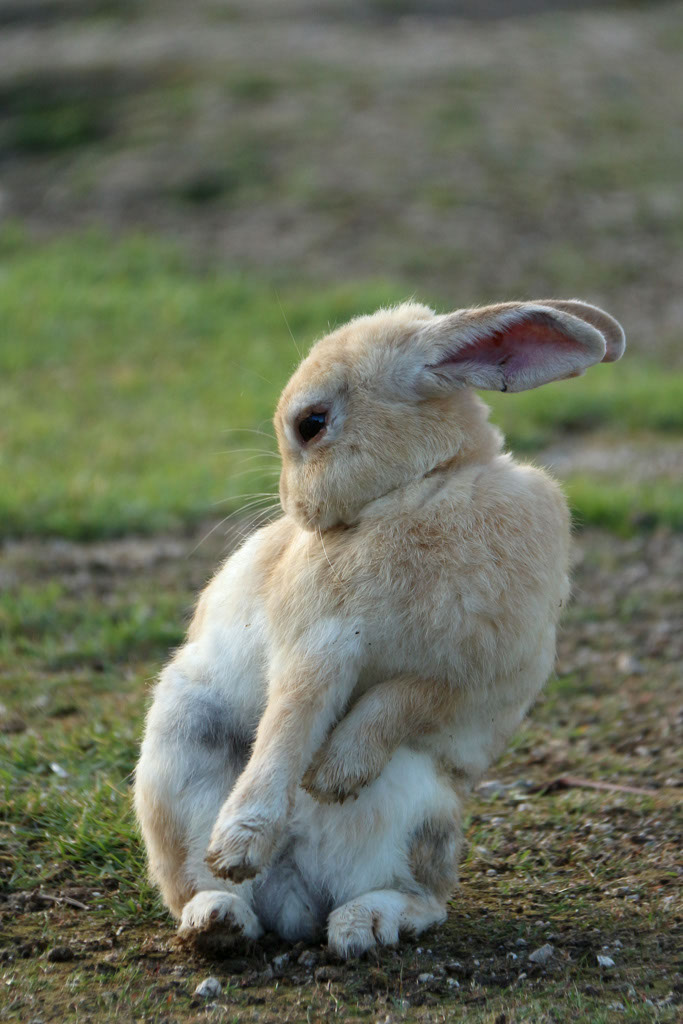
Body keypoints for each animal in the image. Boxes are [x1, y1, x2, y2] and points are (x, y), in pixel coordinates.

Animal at [134, 297, 625, 958]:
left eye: (311, 424)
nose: (295, 510)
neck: (425, 488)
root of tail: (297, 902)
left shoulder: (481, 675)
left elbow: (400, 701)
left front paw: (334, 777)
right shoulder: (319, 647)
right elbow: (288, 728)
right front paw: (238, 847)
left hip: (424, 817)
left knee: (422, 898)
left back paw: (361, 924)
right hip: (178, 757)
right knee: (201, 887)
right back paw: (220, 915)